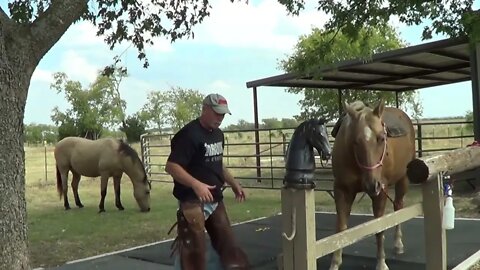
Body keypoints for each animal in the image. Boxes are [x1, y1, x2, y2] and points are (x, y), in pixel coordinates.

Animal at [330, 99, 416, 270]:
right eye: (355, 141)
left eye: (382, 138)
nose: (372, 185)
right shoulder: (342, 190)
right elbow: (341, 228)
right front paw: (335, 263)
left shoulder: (380, 192)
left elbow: (379, 227)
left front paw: (381, 263)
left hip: (403, 180)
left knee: (398, 206)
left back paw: (398, 244)